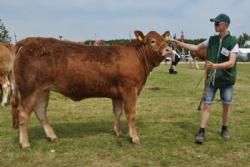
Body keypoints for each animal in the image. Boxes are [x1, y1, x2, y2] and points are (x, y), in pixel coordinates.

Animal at [11, 30, 172, 148]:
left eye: (166, 40)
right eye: (152, 41)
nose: (168, 50)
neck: (138, 58)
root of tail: (28, 40)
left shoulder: (117, 94)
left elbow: (117, 112)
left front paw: (118, 132)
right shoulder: (129, 89)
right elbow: (131, 114)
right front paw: (135, 138)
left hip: (43, 90)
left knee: (40, 111)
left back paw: (52, 136)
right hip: (30, 89)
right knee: (23, 113)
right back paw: (25, 143)